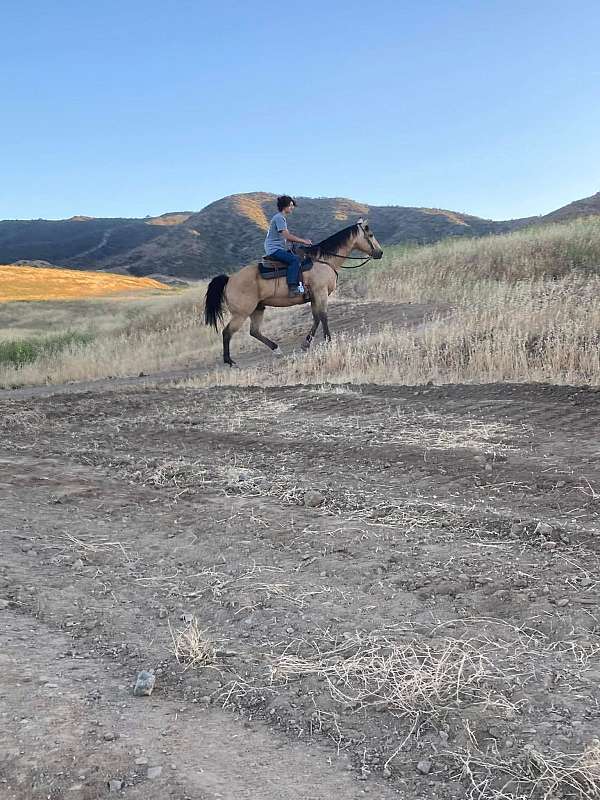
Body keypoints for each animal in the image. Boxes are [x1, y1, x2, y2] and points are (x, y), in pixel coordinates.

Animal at [203, 219, 384, 365]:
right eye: (371, 234)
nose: (380, 252)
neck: (323, 261)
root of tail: (229, 279)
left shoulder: (314, 297)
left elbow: (316, 318)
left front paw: (306, 344)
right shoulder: (320, 293)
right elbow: (324, 317)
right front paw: (328, 341)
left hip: (257, 308)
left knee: (254, 331)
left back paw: (276, 349)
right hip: (241, 313)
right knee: (227, 332)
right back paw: (229, 361)